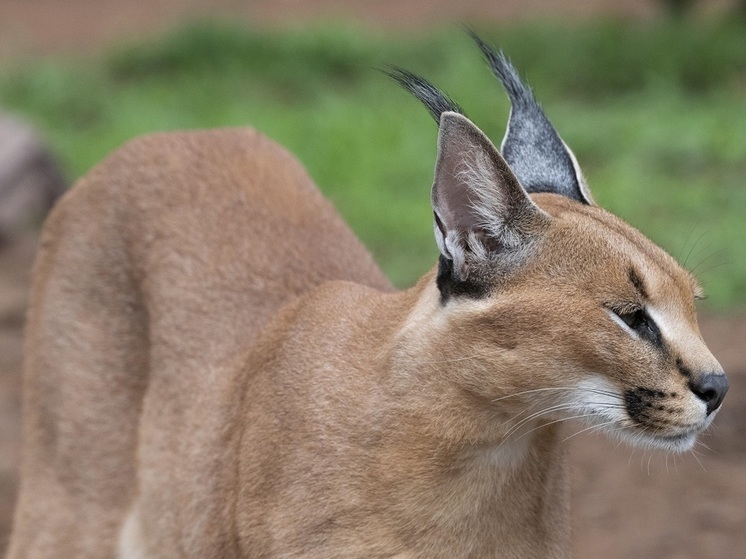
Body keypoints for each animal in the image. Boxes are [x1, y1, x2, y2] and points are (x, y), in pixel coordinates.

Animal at [8, 34, 724, 559]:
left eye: (692, 301)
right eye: (630, 317)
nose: (718, 386)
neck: (480, 446)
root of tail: (166, 139)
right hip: (67, 511)